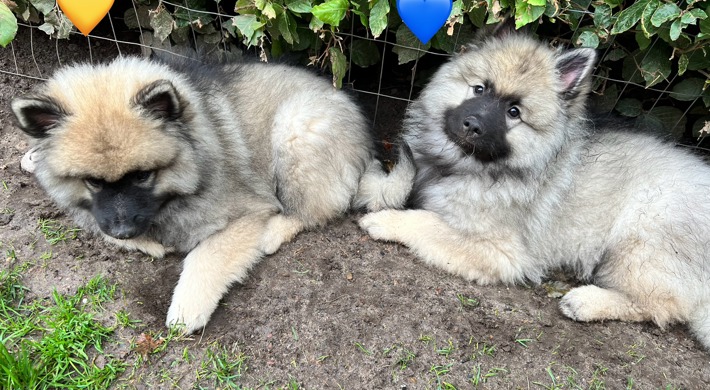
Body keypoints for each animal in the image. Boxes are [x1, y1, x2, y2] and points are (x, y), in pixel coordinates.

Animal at [11, 56, 414, 334]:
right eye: (92, 182)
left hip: (294, 130)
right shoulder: (99, 214)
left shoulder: (246, 211)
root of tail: (365, 144)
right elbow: (101, 226)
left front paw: (184, 311)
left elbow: (204, 258)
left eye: (142, 175)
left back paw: (274, 231)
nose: (125, 229)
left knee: (316, 210)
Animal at [362, 29, 710, 348]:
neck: (468, 165)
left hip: (639, 240)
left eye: (513, 112)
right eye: (479, 89)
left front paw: (386, 221)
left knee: (664, 306)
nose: (472, 125)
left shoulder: (500, 250)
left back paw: (586, 302)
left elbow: (427, 222)